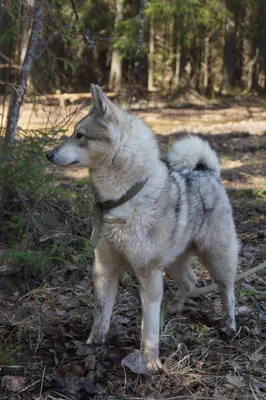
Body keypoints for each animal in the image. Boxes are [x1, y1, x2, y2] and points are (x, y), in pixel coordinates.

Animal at [47, 85, 239, 376]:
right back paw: (174, 307)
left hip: (217, 258)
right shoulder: (105, 268)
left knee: (227, 291)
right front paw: (93, 346)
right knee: (190, 281)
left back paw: (229, 325)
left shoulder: (148, 274)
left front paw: (150, 361)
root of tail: (207, 172)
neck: (122, 198)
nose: (48, 155)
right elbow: (101, 315)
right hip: (174, 261)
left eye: (79, 135)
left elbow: (148, 326)